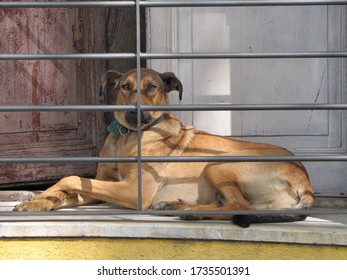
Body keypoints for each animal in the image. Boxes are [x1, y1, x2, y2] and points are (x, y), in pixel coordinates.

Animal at [14, 68, 316, 228]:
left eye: (152, 87)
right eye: (125, 87)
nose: (135, 111)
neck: (128, 136)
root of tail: (305, 180)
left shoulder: (133, 192)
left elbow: (70, 177)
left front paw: (44, 193)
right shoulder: (103, 185)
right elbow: (70, 189)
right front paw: (38, 201)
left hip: (219, 163)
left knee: (238, 205)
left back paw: (187, 210)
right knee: (235, 205)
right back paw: (178, 205)